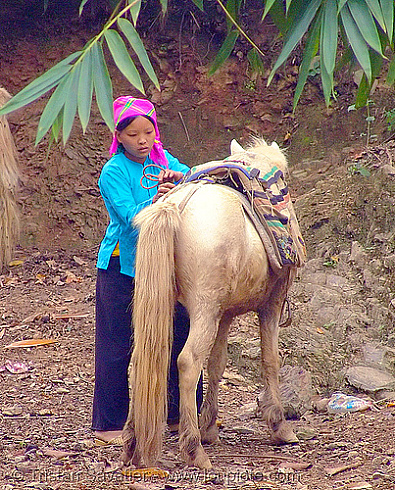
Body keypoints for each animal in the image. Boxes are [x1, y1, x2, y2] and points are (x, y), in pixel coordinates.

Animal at [123, 140, 304, 468]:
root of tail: (175, 205)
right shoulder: (270, 307)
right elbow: (270, 360)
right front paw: (280, 426)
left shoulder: (226, 313)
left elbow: (218, 364)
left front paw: (209, 426)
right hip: (204, 311)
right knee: (188, 362)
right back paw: (194, 449)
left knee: (139, 361)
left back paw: (132, 443)